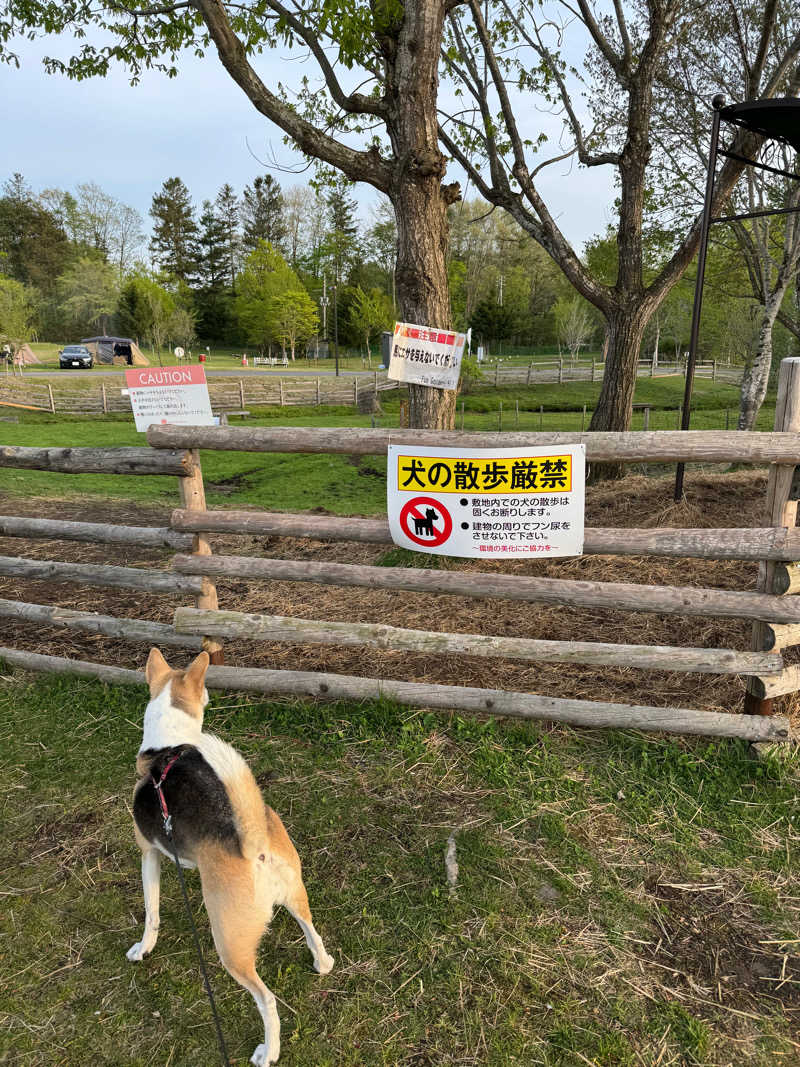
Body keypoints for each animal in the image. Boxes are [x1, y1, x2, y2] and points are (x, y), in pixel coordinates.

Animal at [126, 644, 332, 1062]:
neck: (167, 748)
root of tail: (254, 850)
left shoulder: (149, 854)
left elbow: (152, 913)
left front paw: (144, 948)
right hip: (296, 894)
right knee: (312, 933)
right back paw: (323, 963)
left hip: (230, 946)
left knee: (267, 1000)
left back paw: (268, 1052)